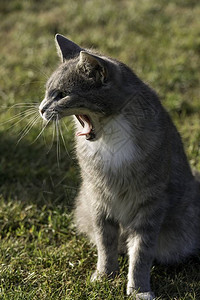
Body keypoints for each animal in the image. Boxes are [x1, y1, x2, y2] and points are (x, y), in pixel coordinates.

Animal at [39, 34, 200, 298]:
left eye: (62, 94)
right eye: (47, 92)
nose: (41, 109)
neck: (109, 135)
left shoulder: (150, 203)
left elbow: (142, 252)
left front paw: (138, 290)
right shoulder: (98, 199)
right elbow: (105, 243)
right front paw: (105, 276)